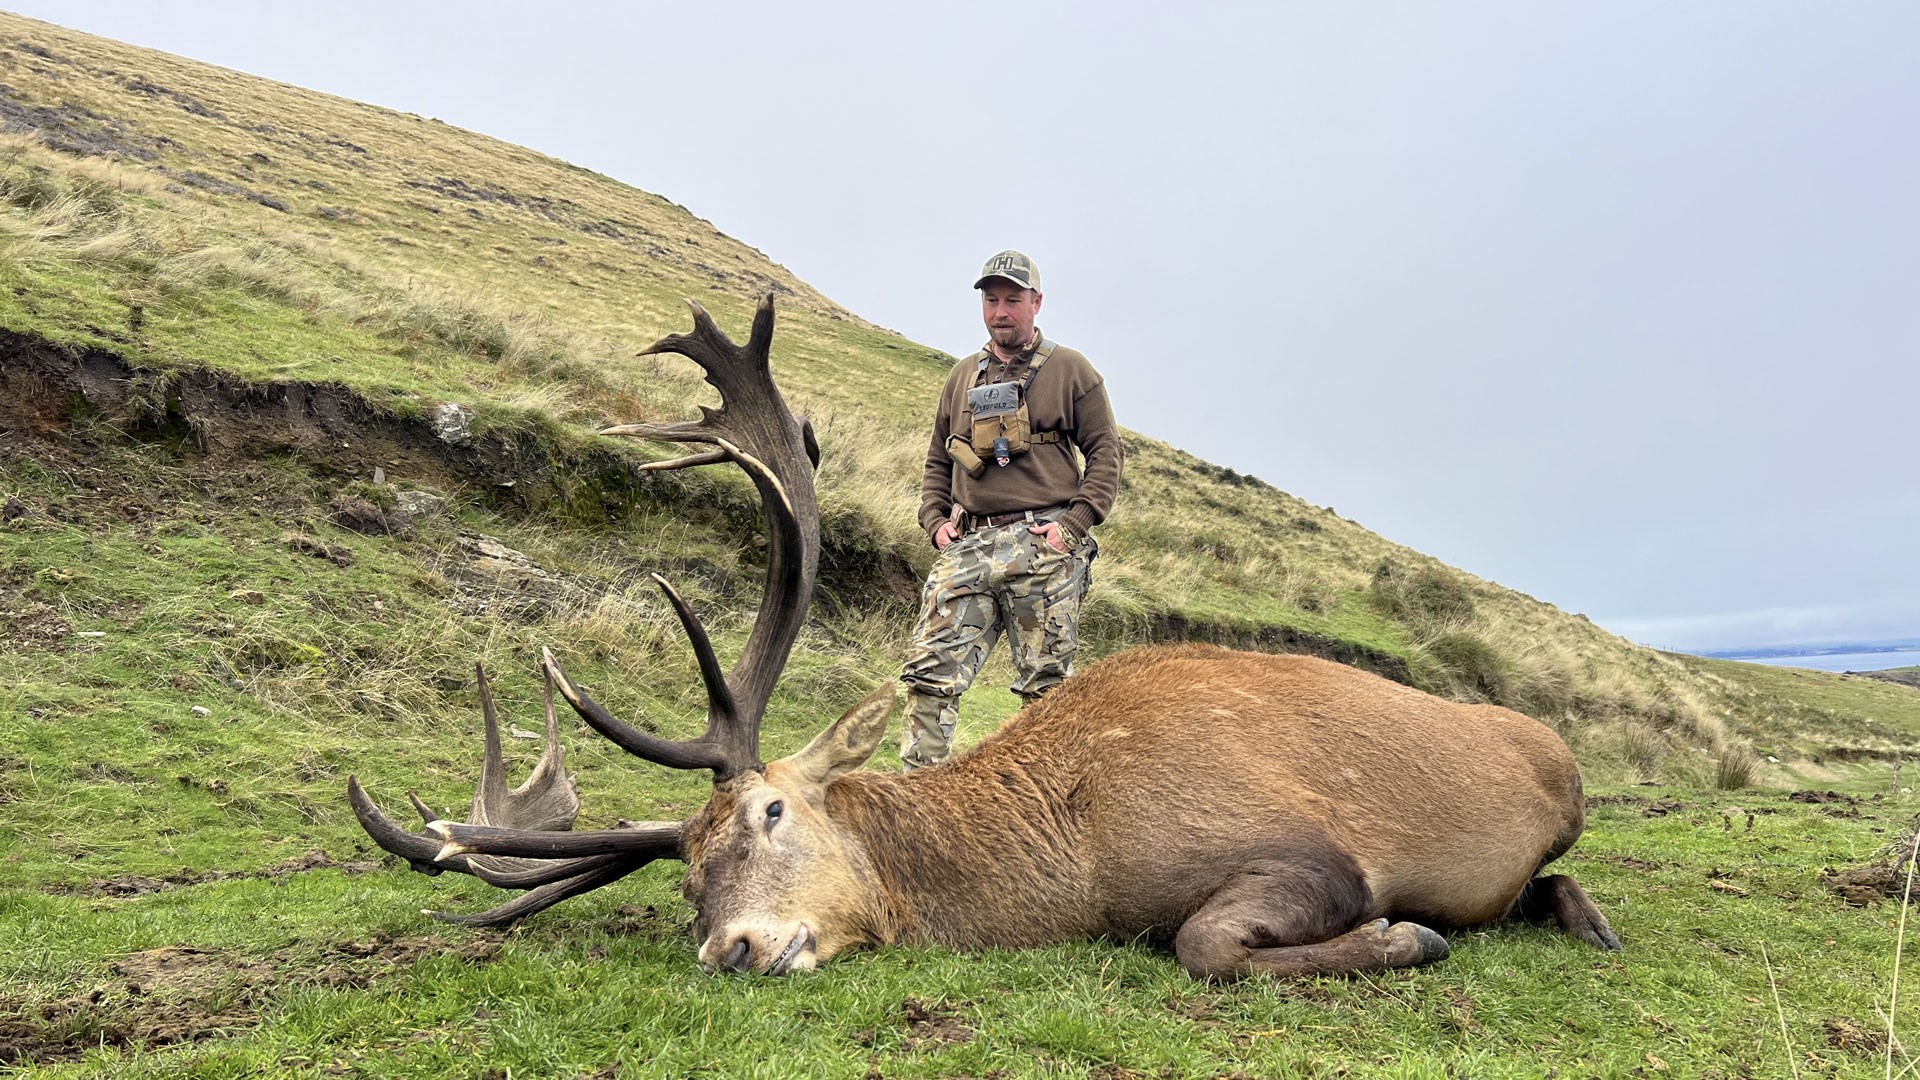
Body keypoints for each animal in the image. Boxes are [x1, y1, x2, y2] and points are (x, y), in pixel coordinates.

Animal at [348, 295, 1622, 980]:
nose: (735, 950)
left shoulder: (1311, 852)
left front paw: (1407, 939)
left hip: (1559, 796)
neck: (1076, 862)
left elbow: (1207, 943)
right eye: (686, 886)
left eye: (769, 812)